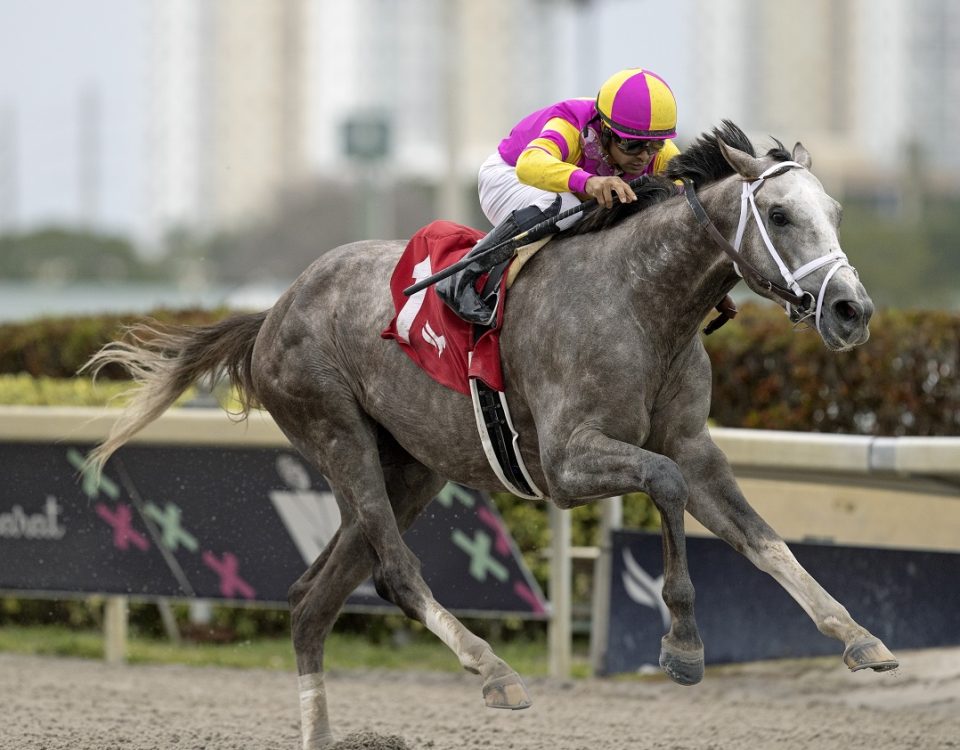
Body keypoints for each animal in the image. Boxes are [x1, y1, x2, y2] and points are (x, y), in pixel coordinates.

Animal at [84, 120, 900, 748]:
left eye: (833, 209)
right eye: (783, 215)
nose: (853, 310)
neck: (642, 302)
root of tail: (274, 309)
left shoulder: (694, 448)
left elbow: (763, 538)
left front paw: (859, 636)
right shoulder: (570, 462)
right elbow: (663, 487)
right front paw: (683, 646)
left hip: (411, 466)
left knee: (312, 598)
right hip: (338, 433)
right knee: (394, 572)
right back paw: (494, 672)